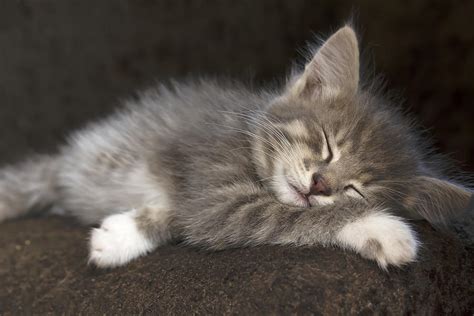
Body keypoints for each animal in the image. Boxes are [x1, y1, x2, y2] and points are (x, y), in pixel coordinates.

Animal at [0, 25, 470, 270]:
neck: (250, 145)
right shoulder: (213, 176)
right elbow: (286, 216)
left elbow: (186, 215)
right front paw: (385, 230)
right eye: (326, 143)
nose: (320, 184)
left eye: (358, 188)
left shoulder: (206, 201)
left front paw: (120, 235)